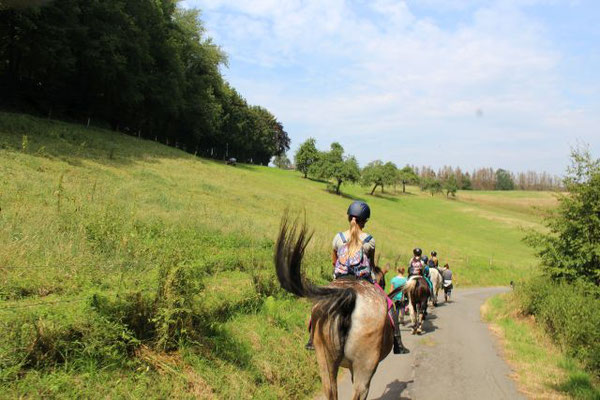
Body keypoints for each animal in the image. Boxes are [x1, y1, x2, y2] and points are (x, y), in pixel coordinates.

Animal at [276, 219, 394, 400]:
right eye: (383, 282)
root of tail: (350, 294)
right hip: (364, 366)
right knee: (359, 392)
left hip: (325, 358)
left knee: (330, 390)